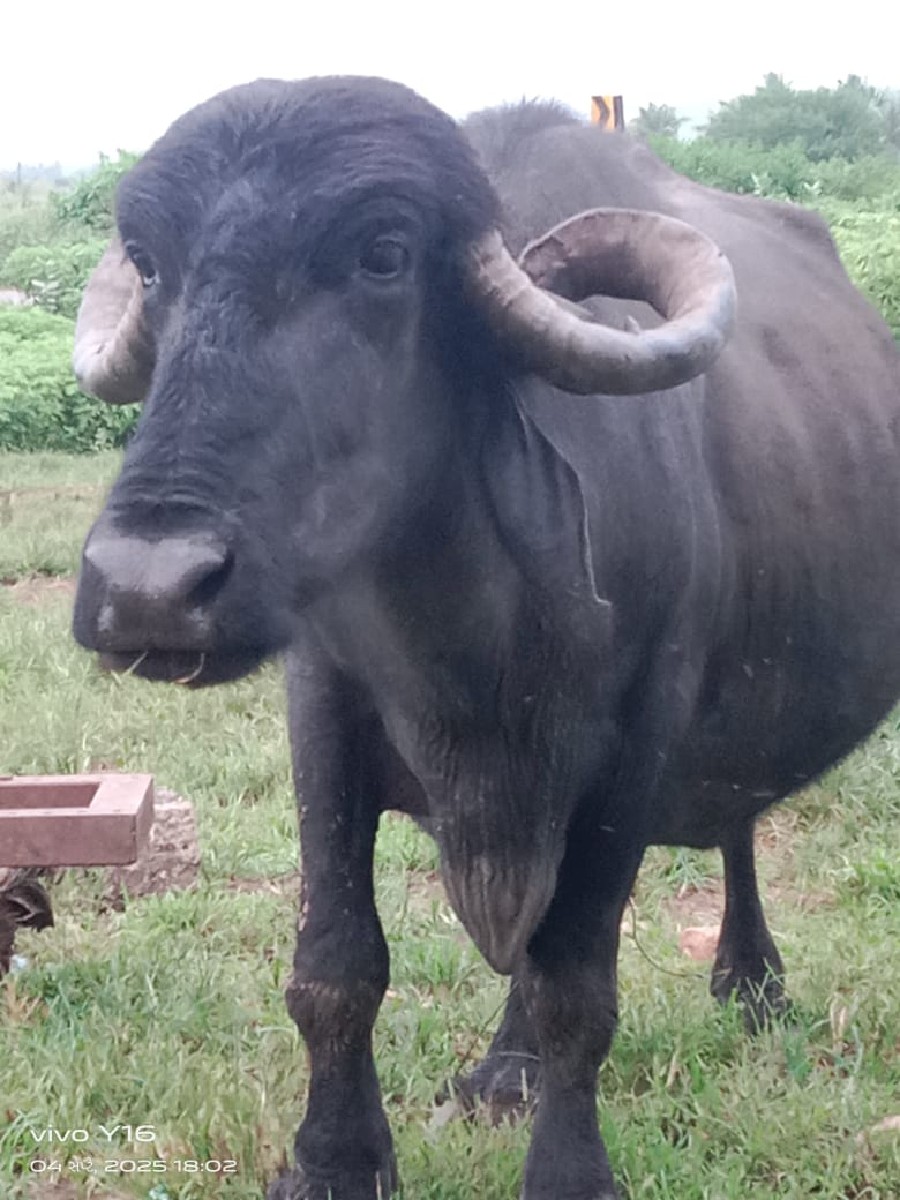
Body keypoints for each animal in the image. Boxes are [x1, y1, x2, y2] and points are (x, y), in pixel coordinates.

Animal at [70, 76, 900, 1200]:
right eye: (153, 263)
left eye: (383, 253)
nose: (147, 590)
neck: (468, 641)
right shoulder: (324, 712)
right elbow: (336, 962)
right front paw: (335, 1157)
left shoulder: (633, 748)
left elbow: (578, 985)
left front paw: (569, 1170)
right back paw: (507, 1067)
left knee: (725, 833)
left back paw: (751, 978)